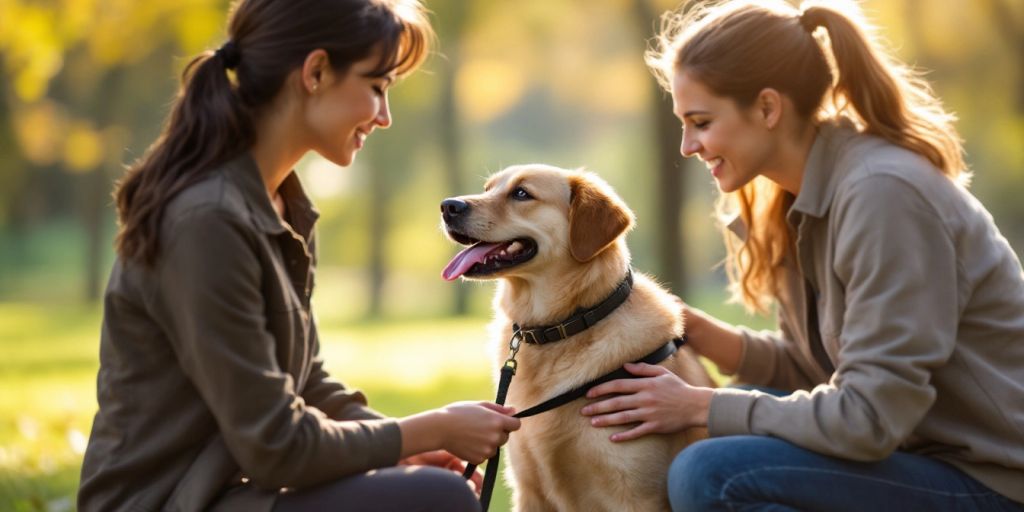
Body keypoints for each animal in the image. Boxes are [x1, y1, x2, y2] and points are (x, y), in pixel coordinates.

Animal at [440, 164, 712, 512]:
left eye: (521, 193)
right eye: (488, 189)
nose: (448, 206)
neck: (562, 327)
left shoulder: (637, 496)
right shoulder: (529, 490)